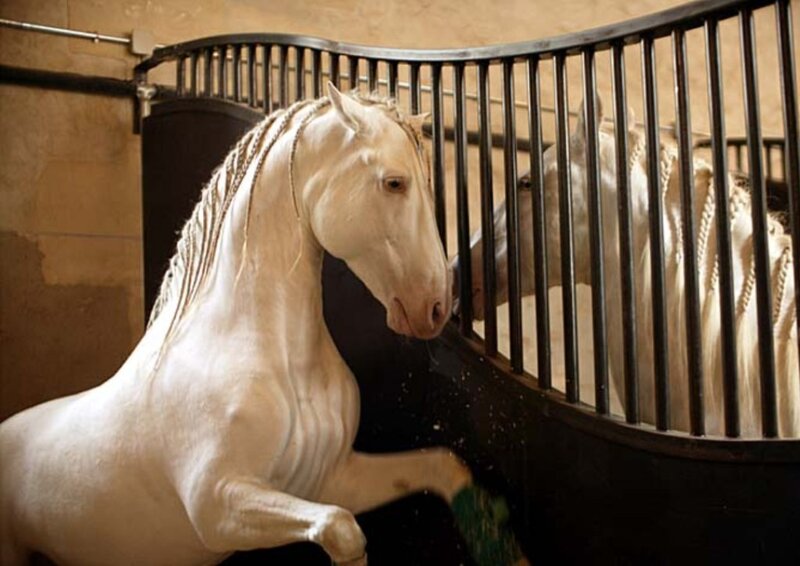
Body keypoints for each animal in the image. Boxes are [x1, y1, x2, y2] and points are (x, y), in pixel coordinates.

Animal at [1, 84, 478, 565]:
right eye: (394, 183)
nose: (437, 305)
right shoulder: (218, 505)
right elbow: (340, 528)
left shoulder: (332, 479)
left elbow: (442, 468)